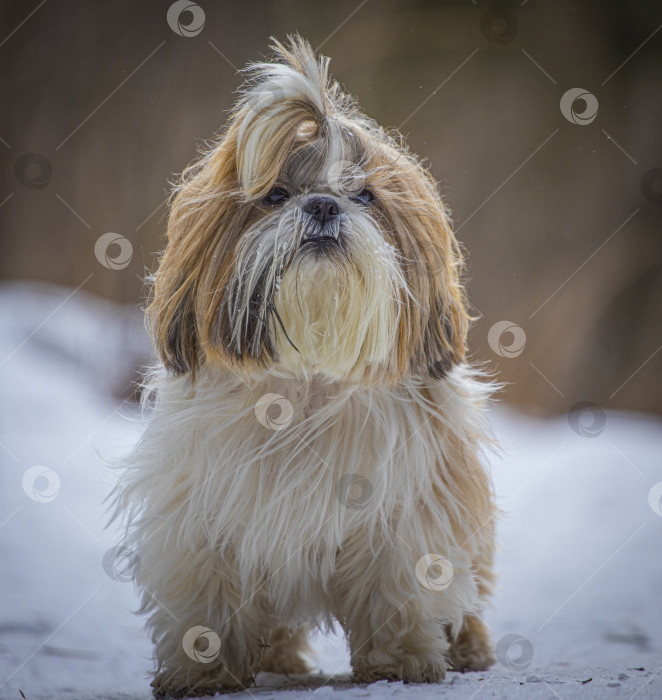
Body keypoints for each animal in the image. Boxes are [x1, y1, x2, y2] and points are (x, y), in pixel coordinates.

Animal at [113, 37, 498, 696]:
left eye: (365, 195)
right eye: (274, 196)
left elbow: (398, 582)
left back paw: (468, 647)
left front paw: (400, 659)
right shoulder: (199, 512)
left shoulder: (406, 507)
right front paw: (201, 668)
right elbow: (206, 594)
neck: (306, 381)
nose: (322, 204)